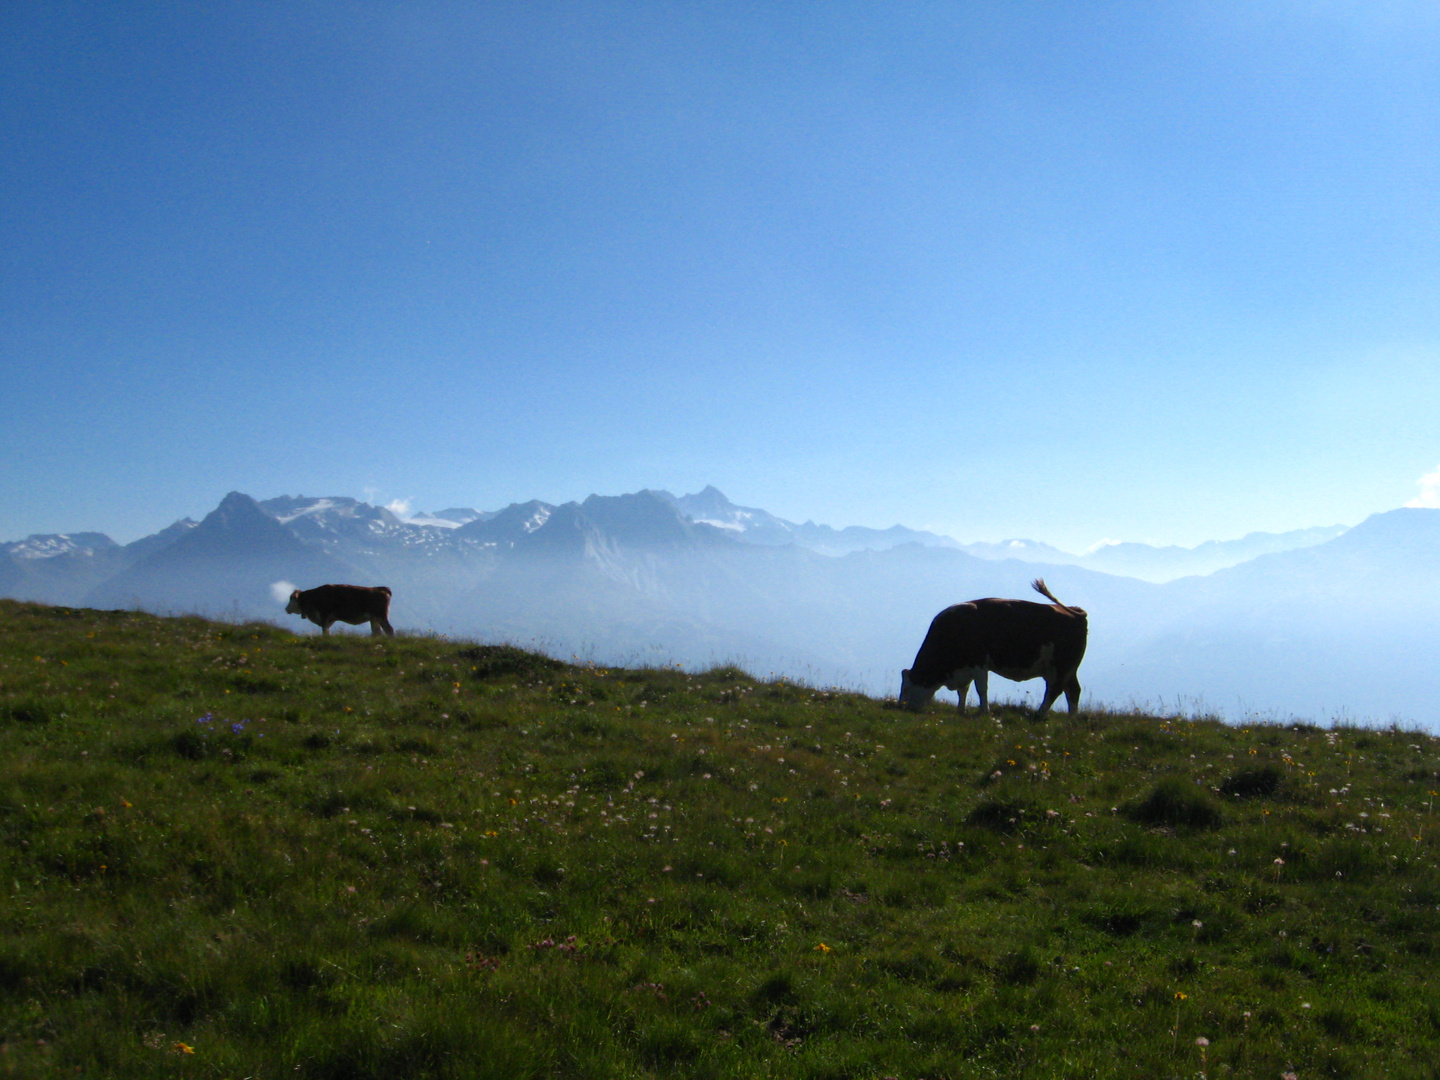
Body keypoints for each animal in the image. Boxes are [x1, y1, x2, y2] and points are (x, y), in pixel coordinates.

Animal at [892, 584, 1082, 720]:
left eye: (906, 688)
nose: (902, 707)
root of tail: (1076, 612)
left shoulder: (979, 663)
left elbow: (981, 689)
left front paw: (984, 711)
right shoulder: (965, 667)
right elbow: (963, 690)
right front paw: (961, 710)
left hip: (1060, 667)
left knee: (1054, 690)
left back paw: (1040, 714)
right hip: (1066, 670)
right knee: (1073, 691)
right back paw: (1070, 721)